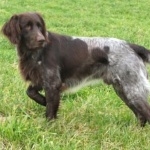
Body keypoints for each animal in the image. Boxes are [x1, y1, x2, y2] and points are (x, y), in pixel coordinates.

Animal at [2, 12, 150, 126]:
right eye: (27, 26)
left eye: (39, 26)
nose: (41, 39)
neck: (35, 52)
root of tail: (131, 45)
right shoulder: (41, 79)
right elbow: (30, 92)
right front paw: (43, 101)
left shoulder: (52, 83)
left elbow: (50, 111)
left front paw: (49, 127)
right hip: (123, 89)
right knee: (141, 115)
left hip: (132, 89)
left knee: (145, 112)